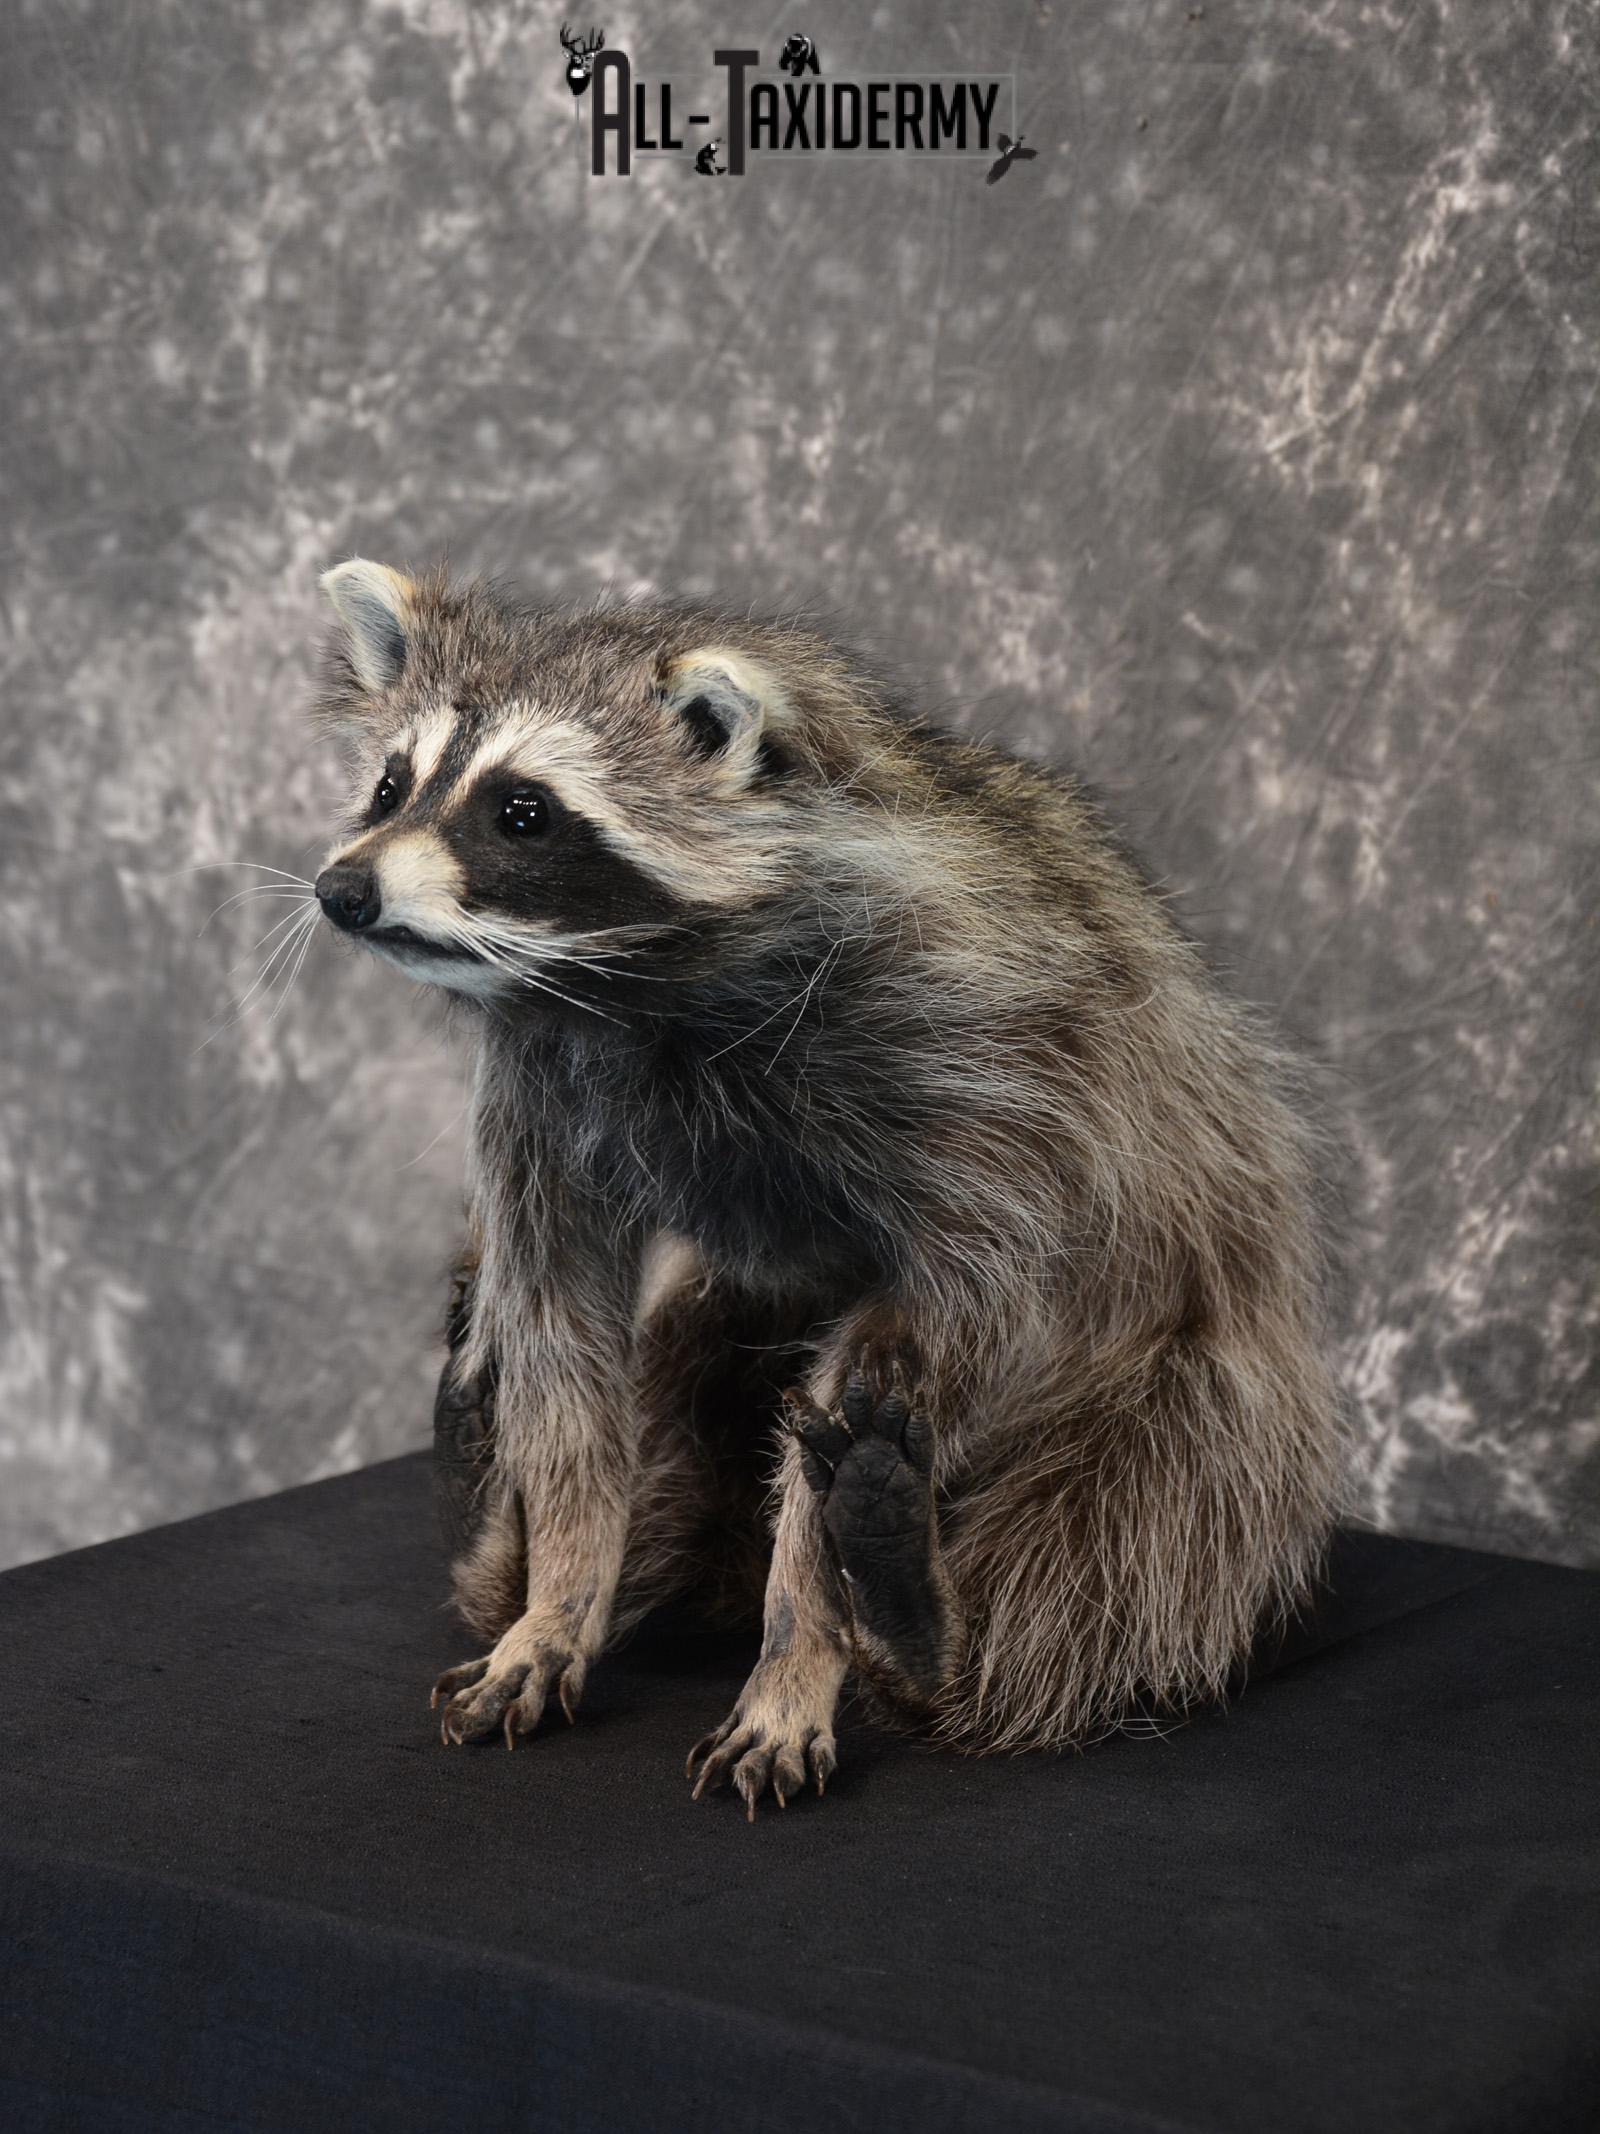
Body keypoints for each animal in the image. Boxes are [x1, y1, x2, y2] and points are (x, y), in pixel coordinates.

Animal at [311, 558, 1344, 1815]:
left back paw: (917, 1630)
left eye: (522, 810)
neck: (637, 985)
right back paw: (490, 1514)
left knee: (1107, 1566)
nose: (343, 888)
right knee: (662, 1437)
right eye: (392, 783)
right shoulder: (541, 1085)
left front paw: (801, 1641)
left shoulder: (977, 1058)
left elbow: (950, 1301)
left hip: (1202, 1402)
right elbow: (564, 1336)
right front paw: (557, 1590)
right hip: (719, 1332)